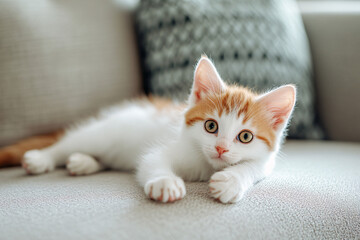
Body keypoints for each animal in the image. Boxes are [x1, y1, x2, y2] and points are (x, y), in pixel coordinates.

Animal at [19, 55, 296, 202]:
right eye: (211, 126)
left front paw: (231, 181)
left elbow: (253, 167)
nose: (220, 148)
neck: (207, 165)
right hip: (103, 133)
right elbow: (152, 161)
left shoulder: (266, 162)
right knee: (69, 142)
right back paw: (42, 158)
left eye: (245, 136)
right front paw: (165, 183)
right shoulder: (164, 148)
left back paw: (84, 162)